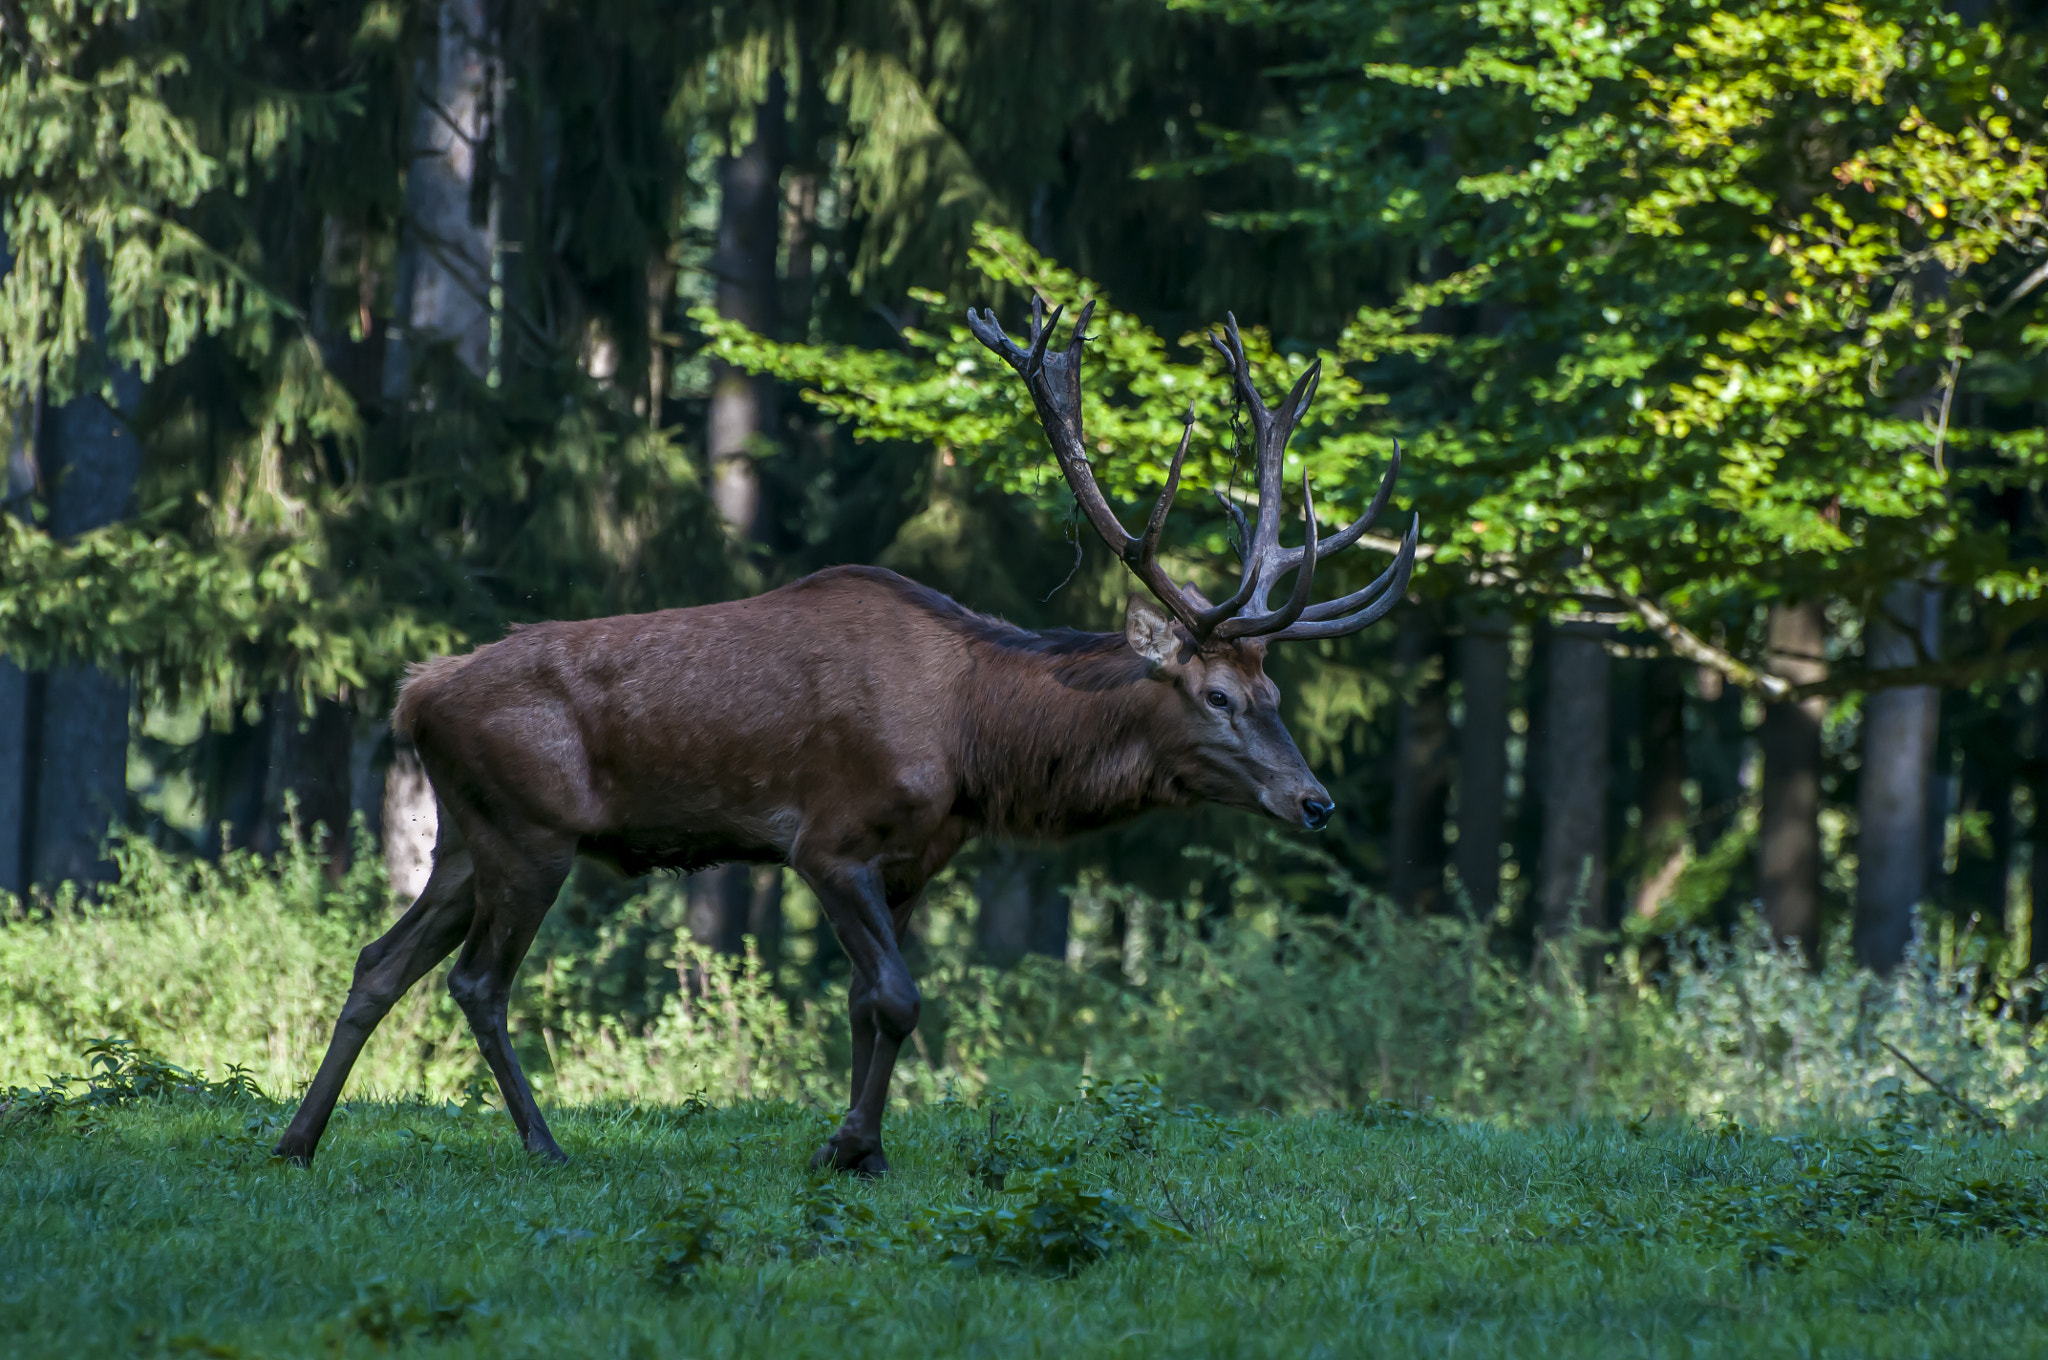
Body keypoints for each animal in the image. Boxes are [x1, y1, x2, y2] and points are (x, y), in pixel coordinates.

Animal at [272, 300, 1418, 1176]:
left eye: (1275, 689)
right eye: (1219, 693)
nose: (1315, 800)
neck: (975, 743)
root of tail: (414, 695)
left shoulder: (913, 860)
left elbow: (871, 1007)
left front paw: (861, 1144)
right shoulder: (824, 843)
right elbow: (900, 999)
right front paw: (847, 1145)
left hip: (465, 837)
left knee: (378, 961)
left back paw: (296, 1137)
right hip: (528, 830)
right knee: (476, 981)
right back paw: (544, 1145)